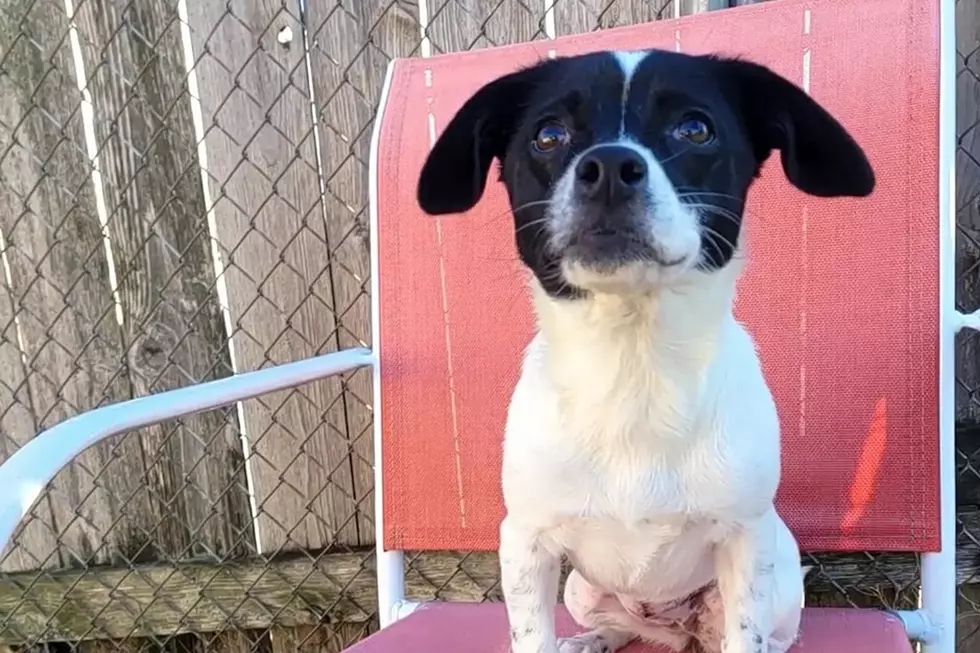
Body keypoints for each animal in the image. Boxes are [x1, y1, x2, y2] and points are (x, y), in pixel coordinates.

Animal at [414, 48, 872, 652]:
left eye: (695, 128)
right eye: (549, 134)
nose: (608, 167)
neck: (634, 368)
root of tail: (678, 632)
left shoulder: (746, 544)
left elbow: (745, 635)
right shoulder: (525, 543)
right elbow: (531, 636)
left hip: (777, 581)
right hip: (580, 589)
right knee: (620, 627)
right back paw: (589, 641)